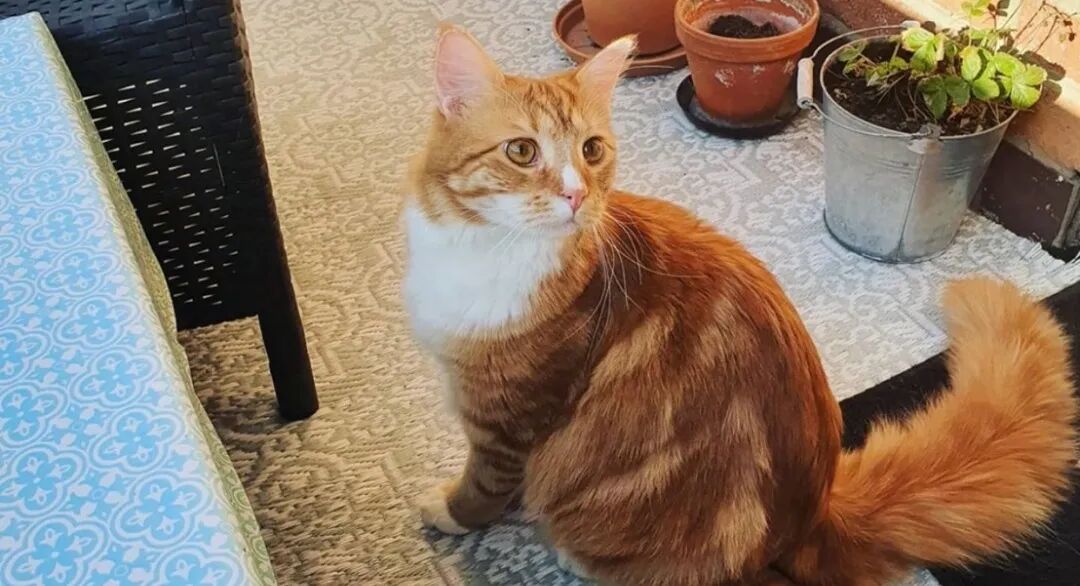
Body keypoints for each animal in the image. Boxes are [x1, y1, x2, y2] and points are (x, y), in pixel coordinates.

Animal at [402, 24, 1078, 586]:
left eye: (592, 151)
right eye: (522, 152)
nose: (576, 196)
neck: (484, 249)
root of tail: (817, 512)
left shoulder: (510, 418)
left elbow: (484, 486)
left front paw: (450, 512)